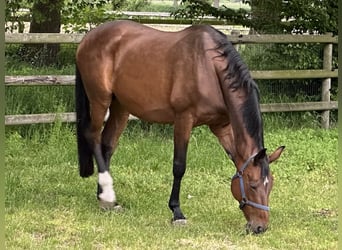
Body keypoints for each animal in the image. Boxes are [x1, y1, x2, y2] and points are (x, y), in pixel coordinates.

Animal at [75, 20, 286, 234]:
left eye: (270, 185)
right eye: (252, 185)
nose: (260, 227)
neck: (209, 68)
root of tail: (88, 38)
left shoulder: (222, 127)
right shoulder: (184, 119)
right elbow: (179, 166)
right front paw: (177, 212)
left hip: (120, 106)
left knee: (107, 145)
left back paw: (105, 199)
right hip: (100, 100)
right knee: (93, 136)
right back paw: (107, 195)